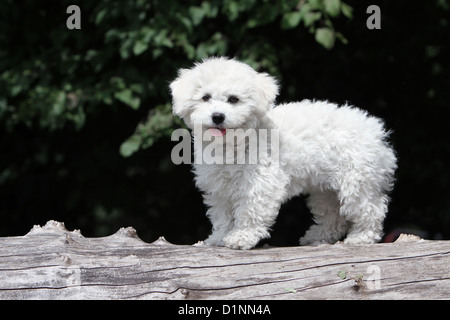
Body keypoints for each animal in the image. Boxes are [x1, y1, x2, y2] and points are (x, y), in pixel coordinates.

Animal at [170, 56, 398, 249]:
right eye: (205, 98)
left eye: (233, 99)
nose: (217, 116)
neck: (233, 143)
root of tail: (375, 129)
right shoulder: (219, 188)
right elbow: (222, 216)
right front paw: (218, 238)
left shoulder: (260, 182)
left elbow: (250, 210)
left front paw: (242, 236)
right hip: (326, 189)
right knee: (334, 214)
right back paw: (317, 237)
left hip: (358, 181)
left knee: (371, 209)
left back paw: (362, 237)